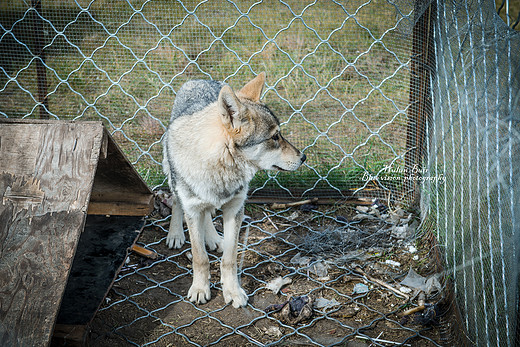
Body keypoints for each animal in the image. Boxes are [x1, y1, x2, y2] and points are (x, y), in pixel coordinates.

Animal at [164, 72, 304, 308]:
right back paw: (175, 234)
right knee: (176, 200)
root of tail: (199, 80)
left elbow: (229, 258)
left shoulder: (235, 210)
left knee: (208, 216)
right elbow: (200, 257)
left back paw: (213, 238)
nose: (304, 157)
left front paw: (233, 291)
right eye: (275, 137)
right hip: (173, 176)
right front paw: (200, 289)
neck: (219, 168)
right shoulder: (192, 210)